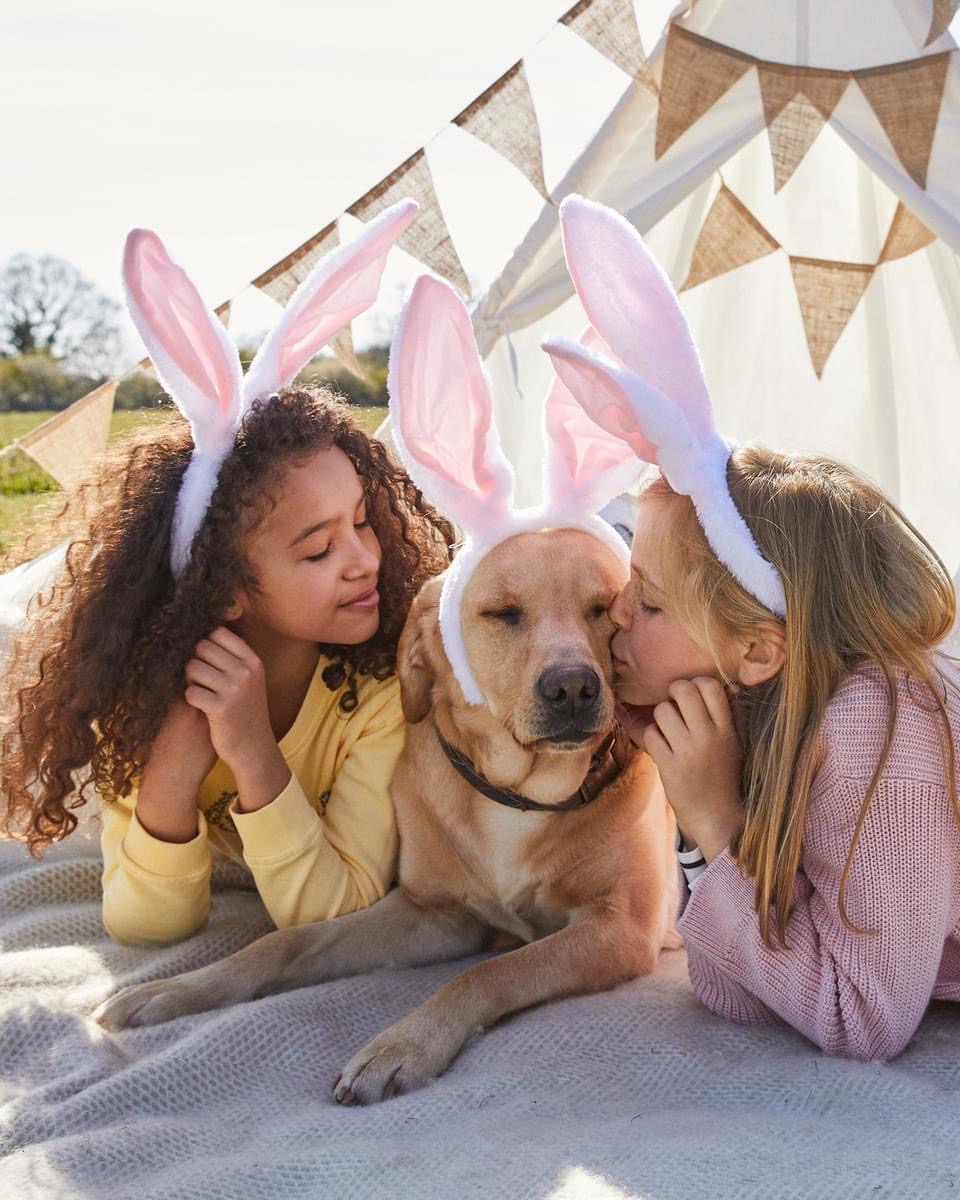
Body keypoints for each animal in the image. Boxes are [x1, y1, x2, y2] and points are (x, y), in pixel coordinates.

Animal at [95, 530, 676, 1099]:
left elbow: (488, 972)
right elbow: (285, 941)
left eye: (605, 607)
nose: (573, 688)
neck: (517, 796)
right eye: (502, 613)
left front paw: (404, 1045)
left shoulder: (621, 928)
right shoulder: (432, 914)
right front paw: (175, 989)